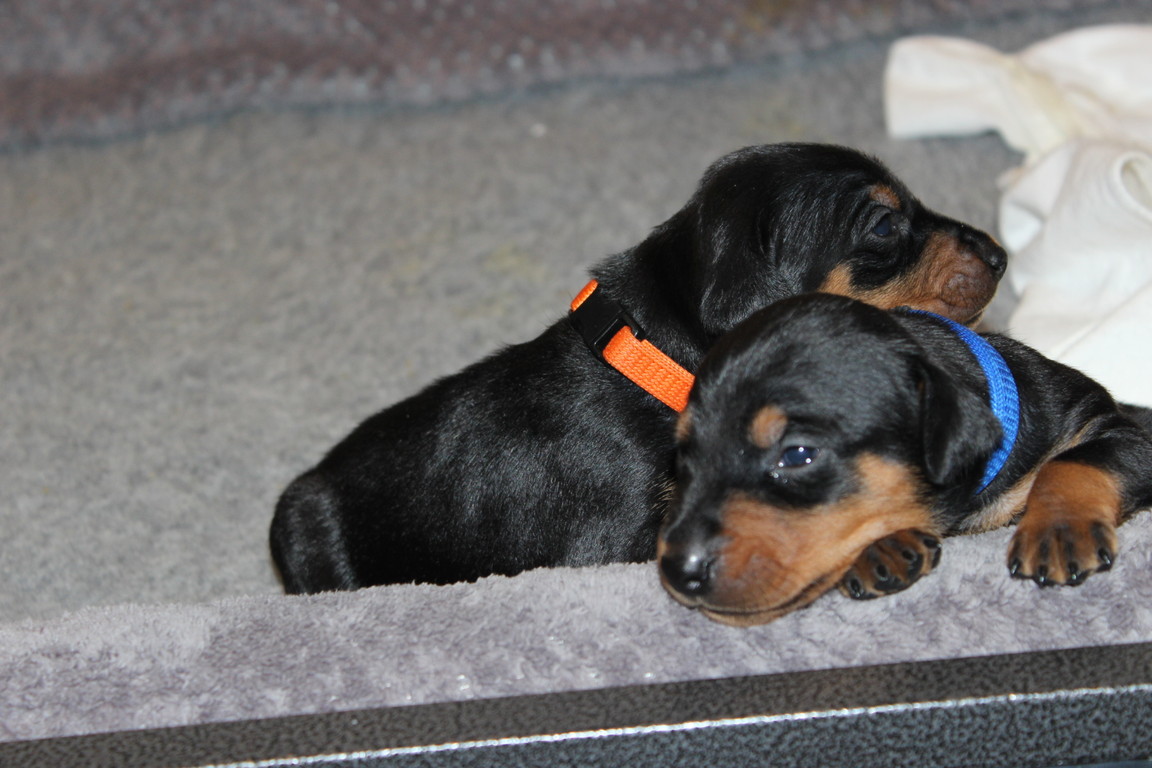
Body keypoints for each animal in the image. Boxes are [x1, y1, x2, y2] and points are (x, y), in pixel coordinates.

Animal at [659, 293, 1152, 626]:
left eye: (798, 454)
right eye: (684, 455)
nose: (677, 571)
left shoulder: (1113, 427)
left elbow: (1071, 462)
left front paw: (1060, 529)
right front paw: (884, 546)